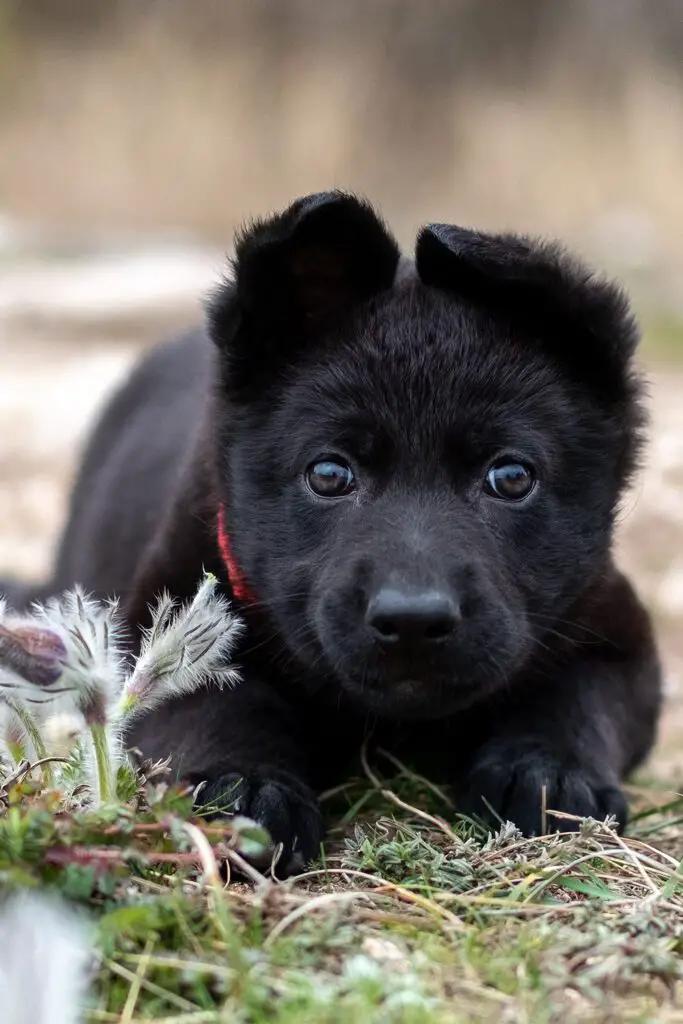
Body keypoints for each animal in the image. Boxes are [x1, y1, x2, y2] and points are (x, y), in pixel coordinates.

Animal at [1, 193, 663, 872]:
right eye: (328, 473)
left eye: (510, 477)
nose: (413, 620)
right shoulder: (159, 628)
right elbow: (215, 705)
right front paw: (243, 787)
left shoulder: (617, 636)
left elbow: (577, 698)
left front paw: (548, 772)